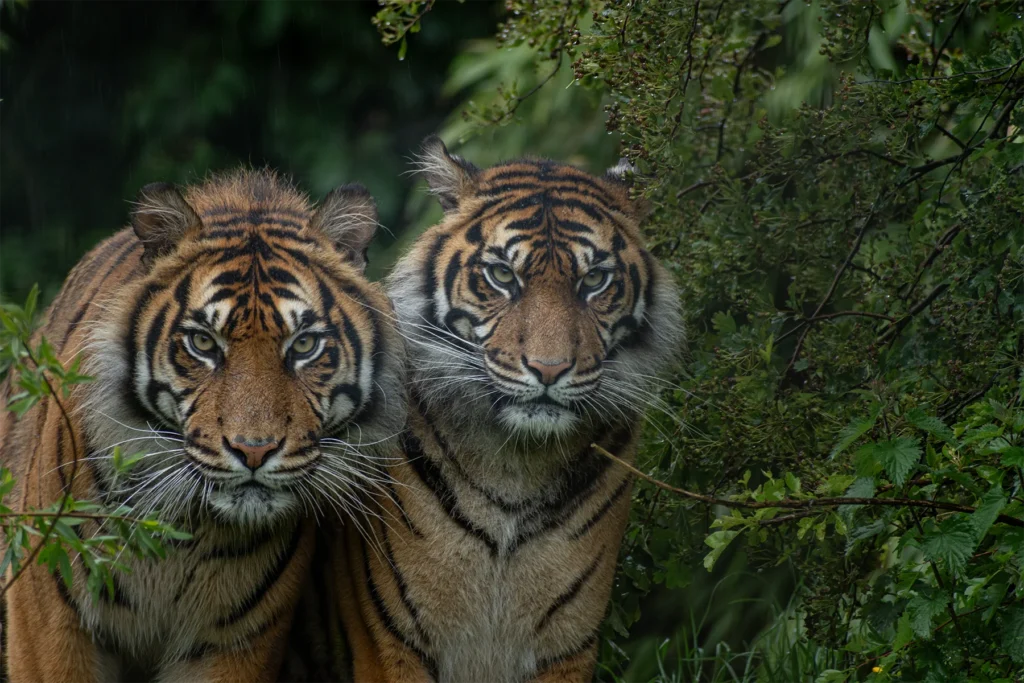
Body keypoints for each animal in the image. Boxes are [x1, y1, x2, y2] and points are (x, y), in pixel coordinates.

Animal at [0, 169, 405, 683]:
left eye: (304, 345)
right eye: (203, 343)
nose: (254, 450)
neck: (182, 536)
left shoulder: (233, 644)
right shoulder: (50, 621)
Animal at [326, 138, 683, 683]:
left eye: (595, 280)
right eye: (501, 275)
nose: (549, 369)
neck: (516, 466)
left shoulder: (566, 646)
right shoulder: (392, 641)